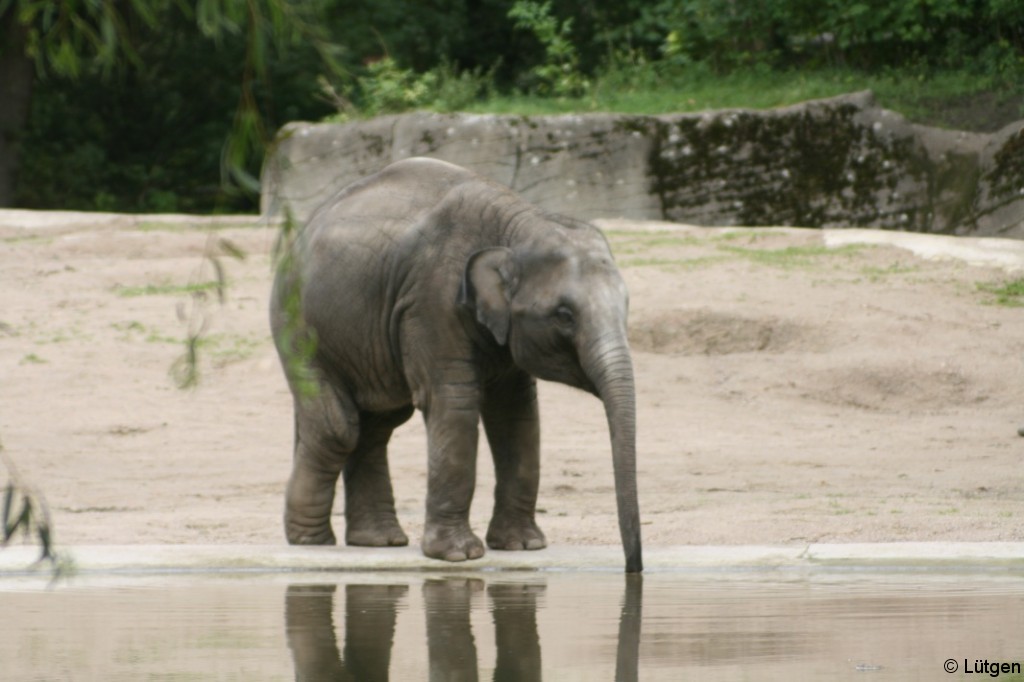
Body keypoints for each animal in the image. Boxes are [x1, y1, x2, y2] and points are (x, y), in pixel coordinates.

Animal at [268, 152, 643, 569]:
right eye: (564, 315)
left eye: (627, 305)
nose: (633, 567)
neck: (517, 226)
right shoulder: (432, 300)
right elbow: (454, 403)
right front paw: (458, 555)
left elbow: (516, 415)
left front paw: (523, 546)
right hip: (299, 330)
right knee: (339, 428)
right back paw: (312, 542)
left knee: (377, 425)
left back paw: (378, 542)